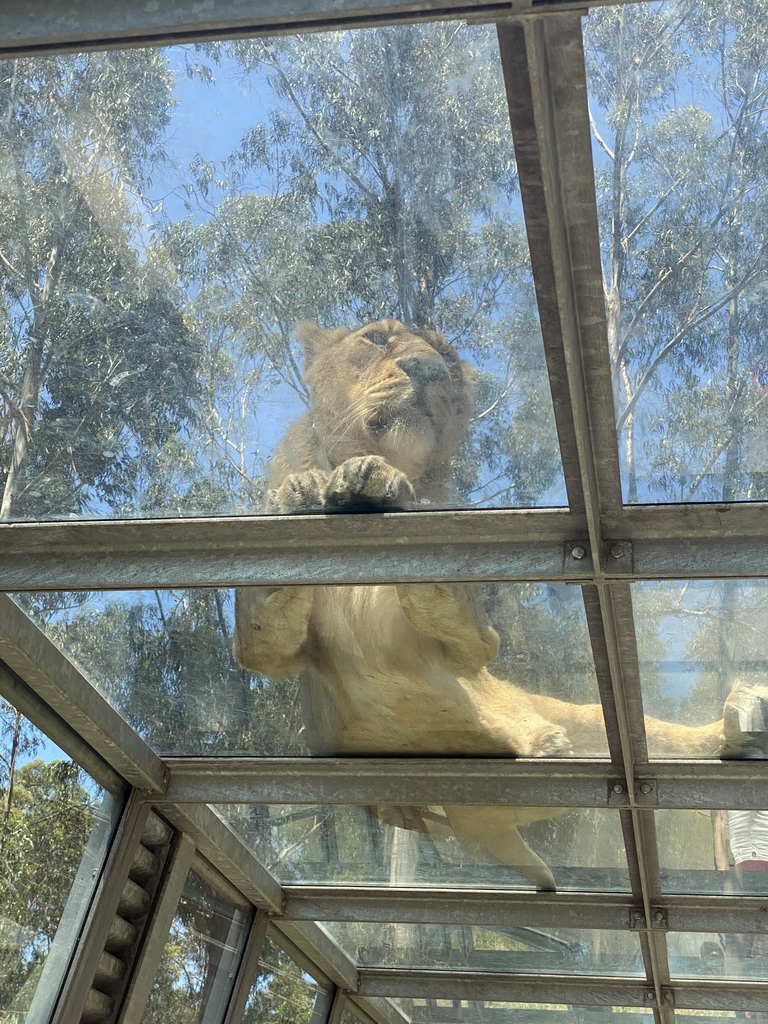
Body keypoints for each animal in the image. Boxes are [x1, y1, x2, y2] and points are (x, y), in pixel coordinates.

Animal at [234, 319, 768, 888]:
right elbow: (265, 609)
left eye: (447, 358)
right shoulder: (271, 654)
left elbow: (447, 590)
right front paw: (301, 493)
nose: (428, 369)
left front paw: (380, 484)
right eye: (376, 338)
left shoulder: (474, 644)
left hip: (579, 718)